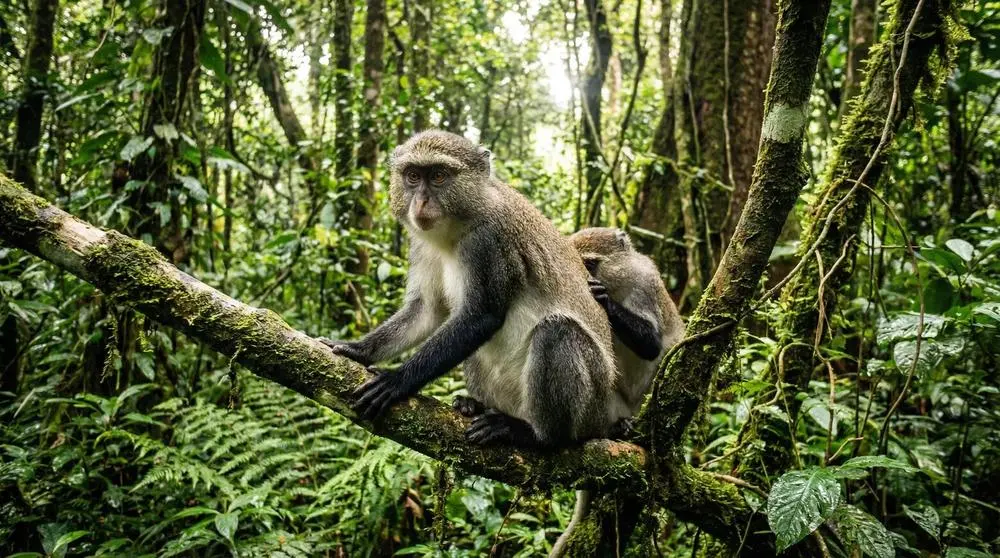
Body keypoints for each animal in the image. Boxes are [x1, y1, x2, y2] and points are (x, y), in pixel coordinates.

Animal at [323, 130, 618, 448]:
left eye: (438, 176)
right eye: (413, 176)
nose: (421, 201)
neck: (457, 227)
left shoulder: (488, 241)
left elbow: (481, 317)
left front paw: (397, 381)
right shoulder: (422, 245)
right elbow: (427, 310)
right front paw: (357, 349)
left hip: (590, 402)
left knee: (558, 330)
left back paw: (533, 434)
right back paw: (474, 405)